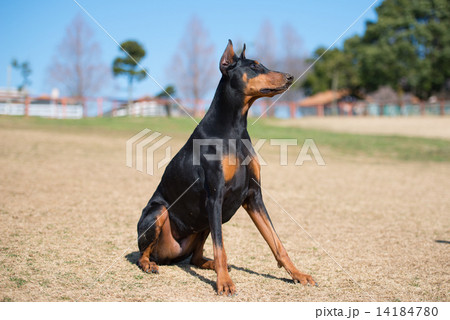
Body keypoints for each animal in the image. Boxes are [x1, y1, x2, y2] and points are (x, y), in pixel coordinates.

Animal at [137, 39, 316, 296]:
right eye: (255, 66)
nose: (290, 77)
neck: (235, 128)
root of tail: (168, 257)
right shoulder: (215, 196)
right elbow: (221, 247)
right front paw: (224, 283)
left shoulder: (253, 196)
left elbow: (276, 242)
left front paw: (298, 274)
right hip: (159, 212)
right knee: (144, 251)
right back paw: (149, 264)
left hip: (205, 223)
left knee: (195, 257)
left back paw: (210, 264)